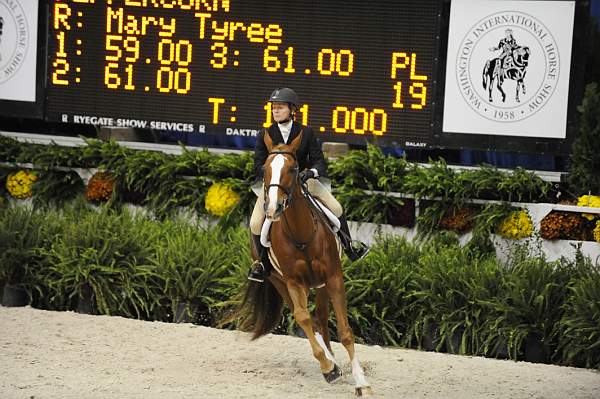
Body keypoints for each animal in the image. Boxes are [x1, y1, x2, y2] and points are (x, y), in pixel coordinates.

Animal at [229, 132, 370, 396]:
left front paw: (361, 383)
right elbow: (303, 318)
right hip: (279, 282)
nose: (273, 208)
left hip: (321, 285)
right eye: (265, 169)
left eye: (294, 169)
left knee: (322, 318)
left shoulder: (333, 277)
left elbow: (345, 332)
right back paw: (331, 365)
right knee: (310, 319)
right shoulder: (293, 282)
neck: (301, 235)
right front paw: (328, 368)